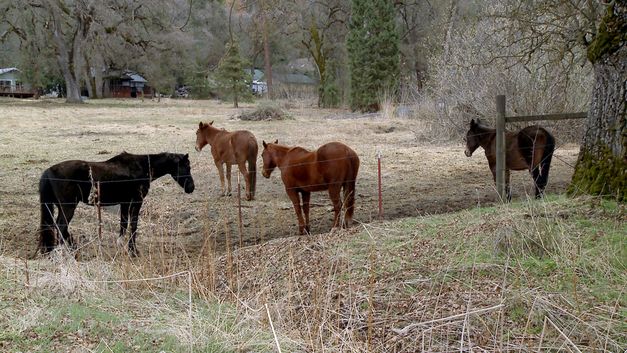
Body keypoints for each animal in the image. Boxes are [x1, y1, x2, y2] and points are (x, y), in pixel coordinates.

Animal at [38, 151, 195, 256]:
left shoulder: (125, 203)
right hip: (68, 207)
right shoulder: (136, 201)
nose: (191, 187)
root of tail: (48, 171)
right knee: (61, 226)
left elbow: (123, 224)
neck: (141, 167)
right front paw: (133, 251)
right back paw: (70, 250)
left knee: (58, 226)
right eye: (187, 167)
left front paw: (121, 245)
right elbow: (133, 225)